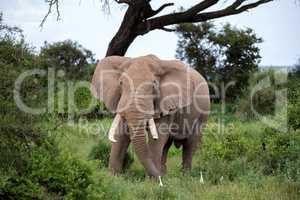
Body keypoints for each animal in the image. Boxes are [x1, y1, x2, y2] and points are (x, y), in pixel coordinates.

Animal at [90, 54, 210, 184]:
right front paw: (113, 179)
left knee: (190, 145)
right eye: (121, 83)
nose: (159, 180)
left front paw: (153, 183)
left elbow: (157, 138)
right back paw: (164, 174)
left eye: (154, 85)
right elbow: (120, 135)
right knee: (166, 145)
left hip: (203, 114)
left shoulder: (166, 103)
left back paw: (184, 178)